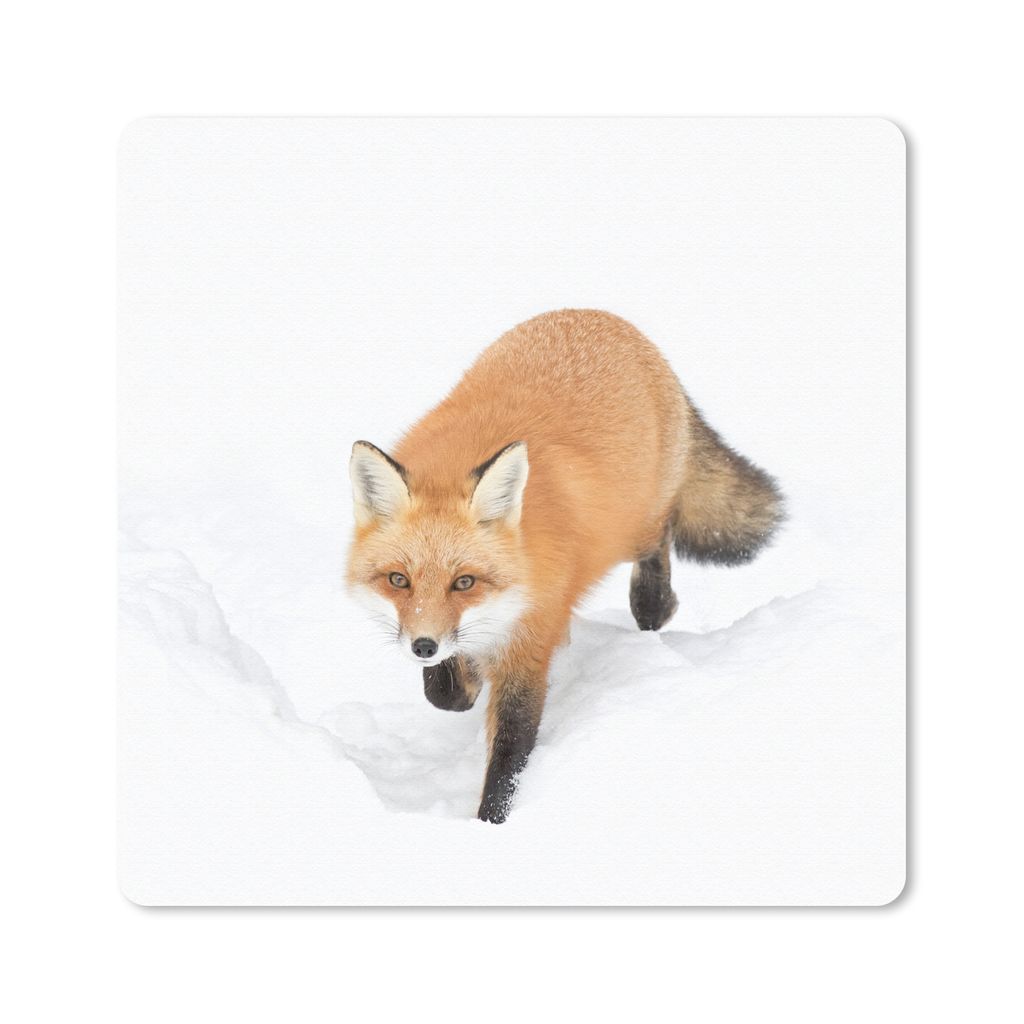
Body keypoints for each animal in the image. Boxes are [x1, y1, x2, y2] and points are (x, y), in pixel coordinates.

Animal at [347, 309, 783, 823]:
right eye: (399, 580)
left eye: (464, 582)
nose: (423, 646)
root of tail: (602, 317)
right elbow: (447, 693)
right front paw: (463, 679)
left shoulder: (531, 646)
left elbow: (510, 755)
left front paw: (491, 823)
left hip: (634, 525)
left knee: (661, 539)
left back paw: (656, 604)